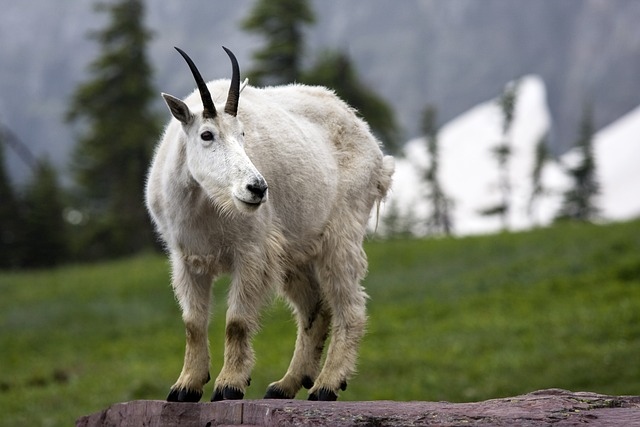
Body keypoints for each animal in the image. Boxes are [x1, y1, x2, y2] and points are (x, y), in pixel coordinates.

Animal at [145, 46, 394, 402]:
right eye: (207, 135)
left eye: (243, 134)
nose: (257, 188)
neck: (206, 204)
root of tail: (373, 145)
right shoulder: (187, 260)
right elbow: (192, 324)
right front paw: (186, 386)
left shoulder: (252, 252)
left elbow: (236, 322)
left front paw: (229, 385)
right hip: (296, 251)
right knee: (314, 309)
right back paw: (285, 384)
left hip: (340, 236)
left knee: (350, 306)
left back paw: (326, 385)